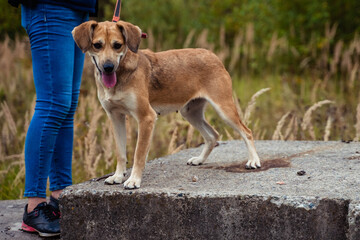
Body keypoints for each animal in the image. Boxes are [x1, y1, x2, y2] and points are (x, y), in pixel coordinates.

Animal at [71, 20, 260, 188]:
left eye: (117, 45)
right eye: (97, 45)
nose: (108, 67)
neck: (121, 73)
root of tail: (211, 55)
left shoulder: (146, 118)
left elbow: (139, 154)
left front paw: (134, 180)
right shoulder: (116, 118)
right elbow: (121, 153)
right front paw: (117, 176)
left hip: (224, 109)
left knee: (247, 132)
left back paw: (253, 160)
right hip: (190, 112)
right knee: (212, 135)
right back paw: (199, 160)